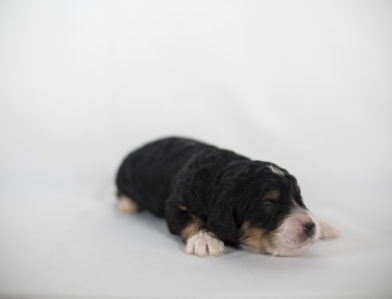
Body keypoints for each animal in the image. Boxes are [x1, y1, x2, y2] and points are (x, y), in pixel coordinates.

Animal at [115, 138, 338, 258]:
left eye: (299, 197)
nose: (310, 226)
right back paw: (128, 203)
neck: (221, 170)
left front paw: (324, 224)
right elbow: (191, 221)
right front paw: (205, 240)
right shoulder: (175, 204)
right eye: (268, 204)